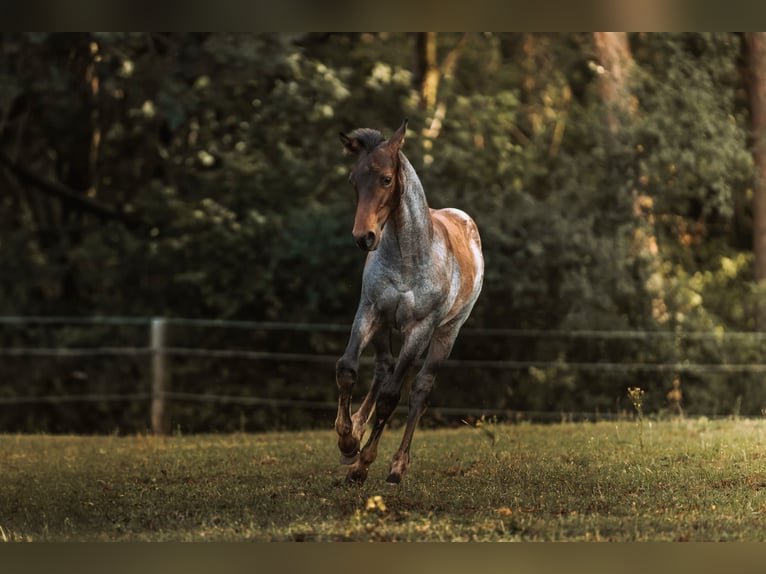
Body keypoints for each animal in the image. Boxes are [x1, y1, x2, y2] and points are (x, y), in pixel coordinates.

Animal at [332, 120, 484, 486]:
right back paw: (357, 430)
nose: (364, 237)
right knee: (382, 369)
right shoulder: (370, 309)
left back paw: (397, 466)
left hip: (445, 335)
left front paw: (363, 464)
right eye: (353, 180)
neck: (408, 256)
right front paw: (347, 442)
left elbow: (392, 397)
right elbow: (347, 369)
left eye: (387, 179)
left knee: (419, 390)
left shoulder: (420, 328)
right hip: (385, 326)